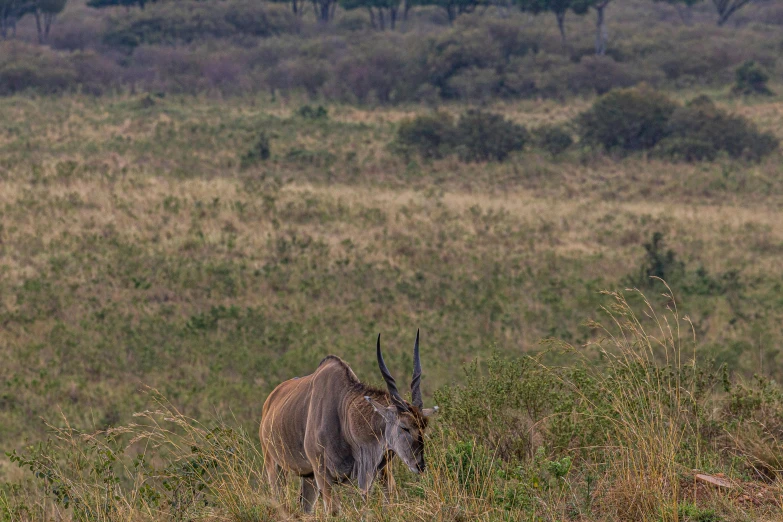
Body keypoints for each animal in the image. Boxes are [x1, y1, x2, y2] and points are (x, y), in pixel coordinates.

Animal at [258, 332, 438, 512]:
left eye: (423, 427)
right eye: (404, 427)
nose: (420, 465)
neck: (344, 415)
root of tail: (269, 402)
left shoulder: (373, 473)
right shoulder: (323, 475)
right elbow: (334, 511)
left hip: (308, 477)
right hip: (275, 467)